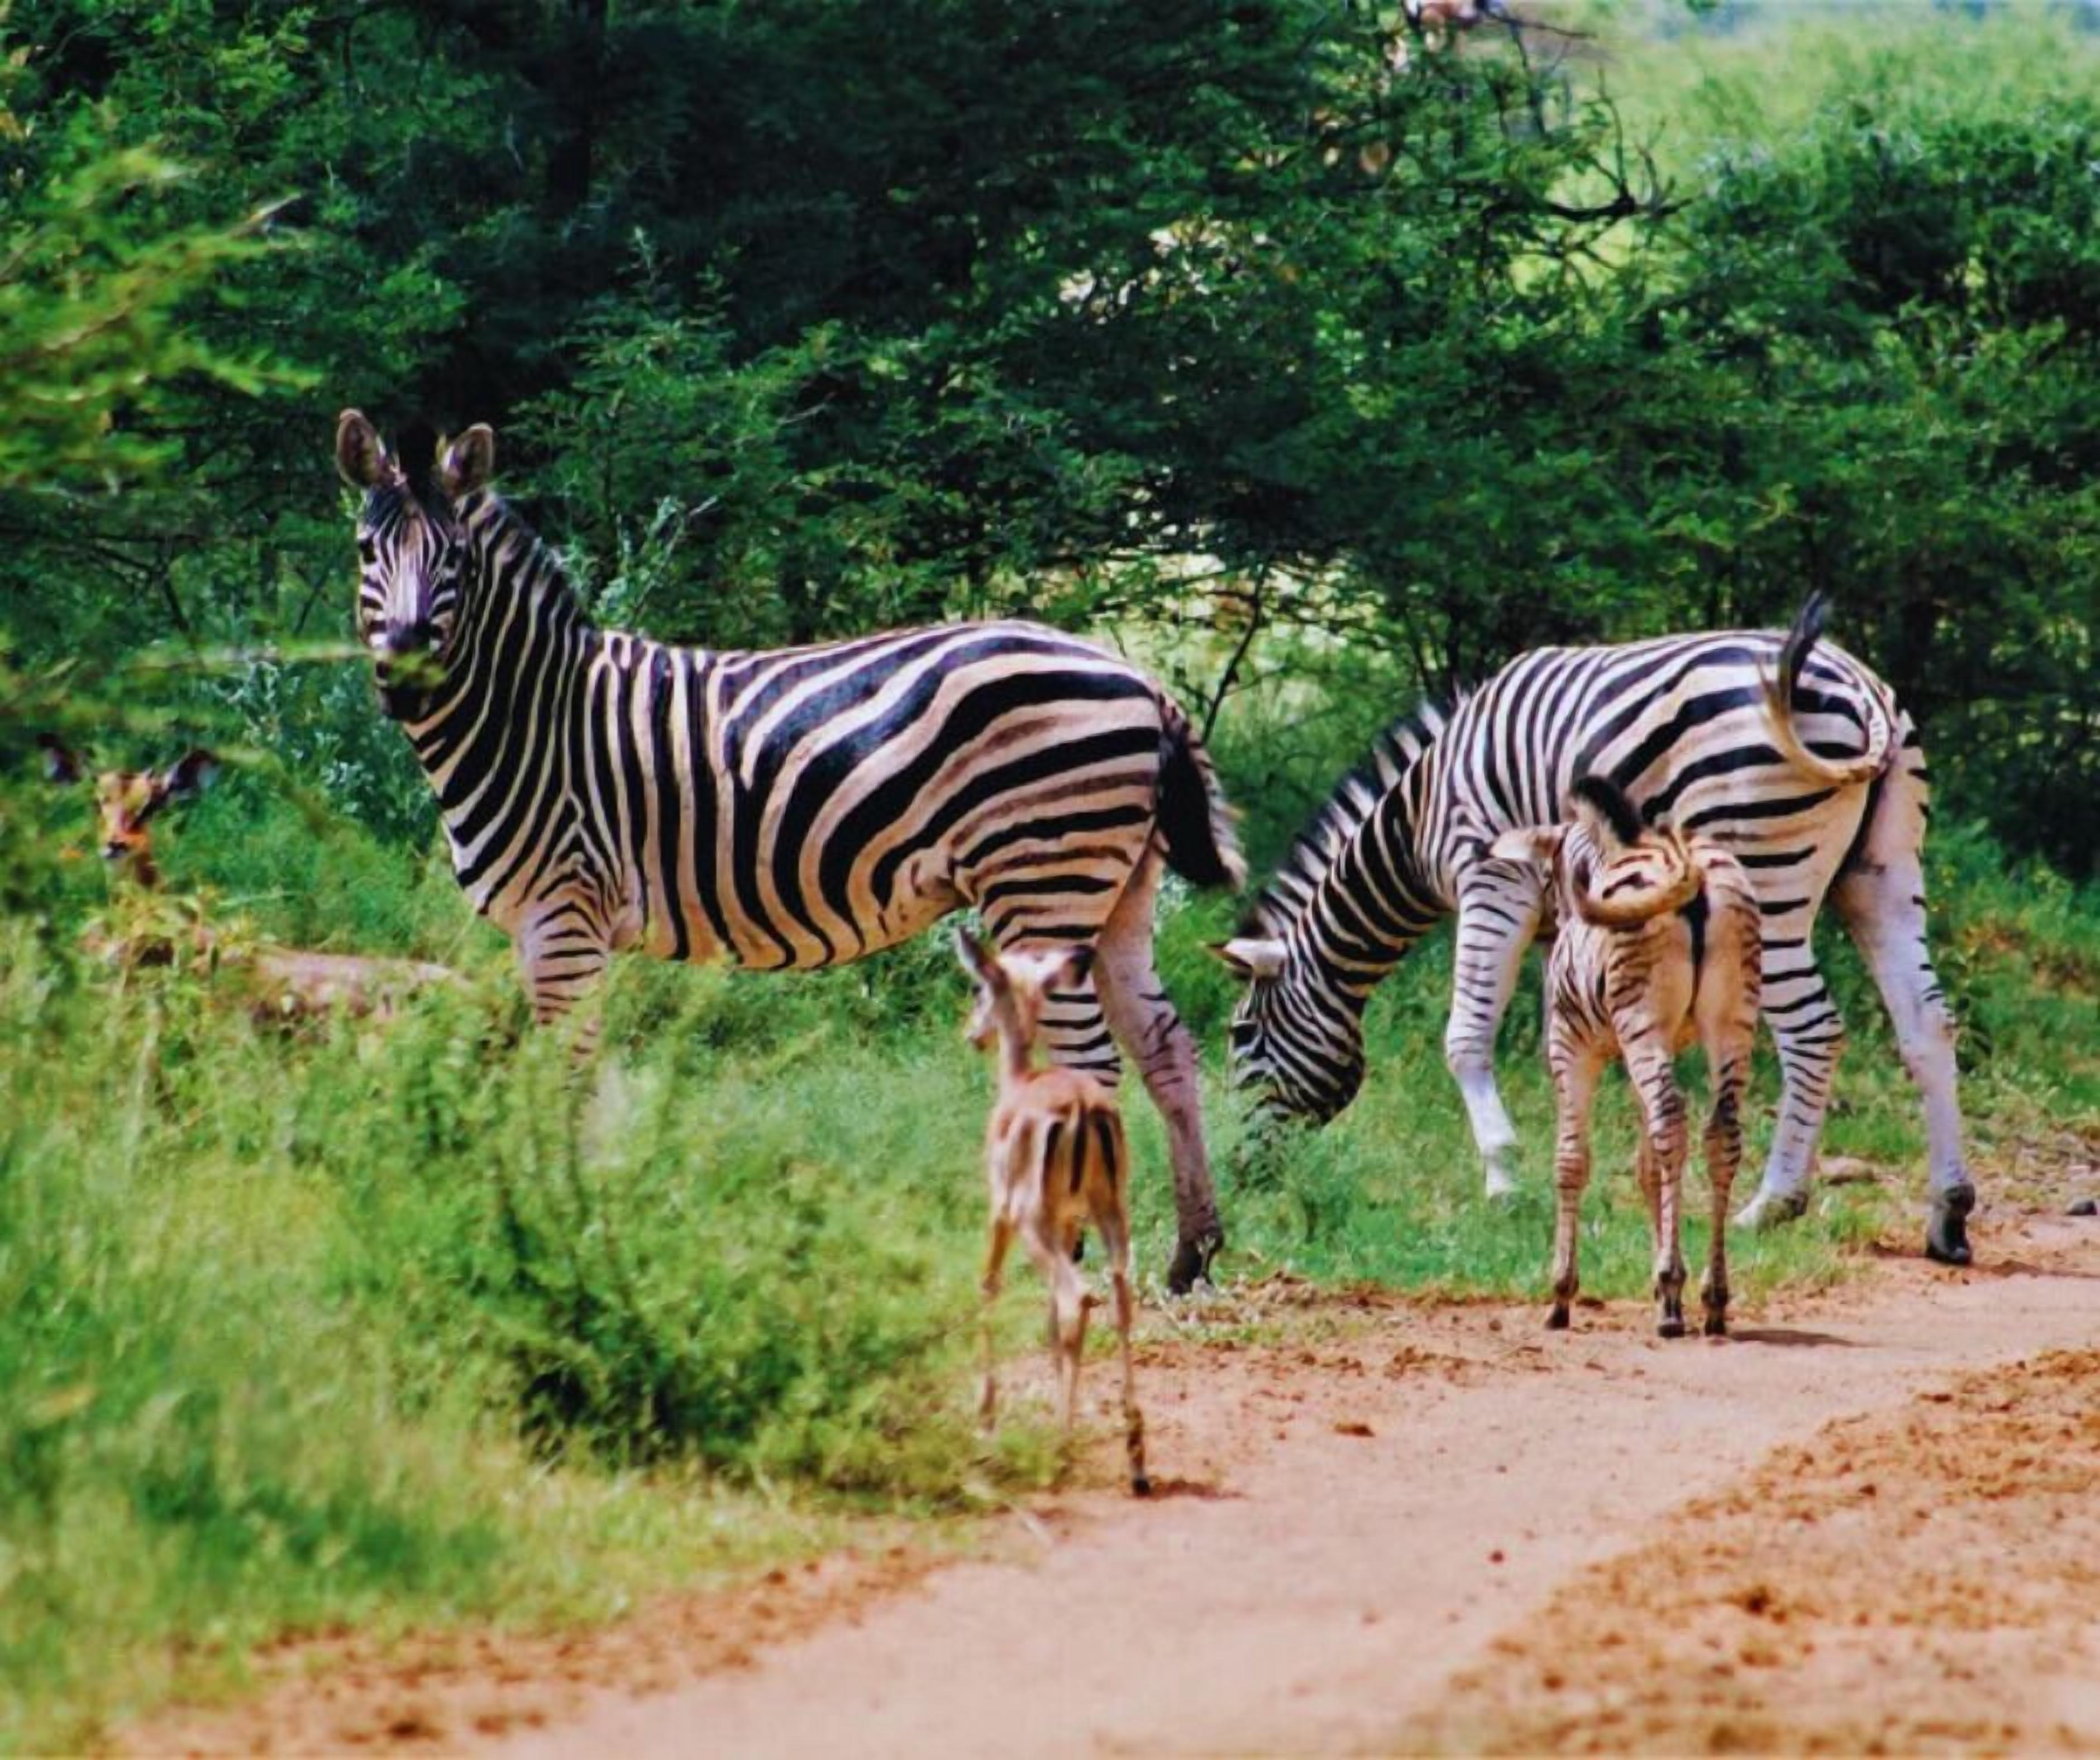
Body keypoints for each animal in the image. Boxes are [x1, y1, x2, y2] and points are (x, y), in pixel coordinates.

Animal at [333, 411, 1244, 1291]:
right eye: (368, 551)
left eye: (454, 559)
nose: (404, 676)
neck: (534, 714)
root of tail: (1142, 680)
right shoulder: (539, 929)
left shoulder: (565, 914)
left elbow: (567, 1077)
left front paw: (565, 1212)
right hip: (1116, 891)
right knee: (1166, 1047)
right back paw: (1191, 1253)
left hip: (1043, 882)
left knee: (1093, 1063)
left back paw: (1071, 1247)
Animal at [1214, 597, 1977, 1267]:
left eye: (1241, 1034)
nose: (1241, 1174)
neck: (1419, 809)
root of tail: (1859, 686)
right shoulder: (1572, 908)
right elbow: (1588, 1034)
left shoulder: (1492, 877)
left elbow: (1465, 1036)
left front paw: (1505, 1183)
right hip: (1880, 871)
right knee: (1927, 1024)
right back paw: (1948, 1212)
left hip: (1768, 873)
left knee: (1814, 1030)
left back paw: (1771, 1204)